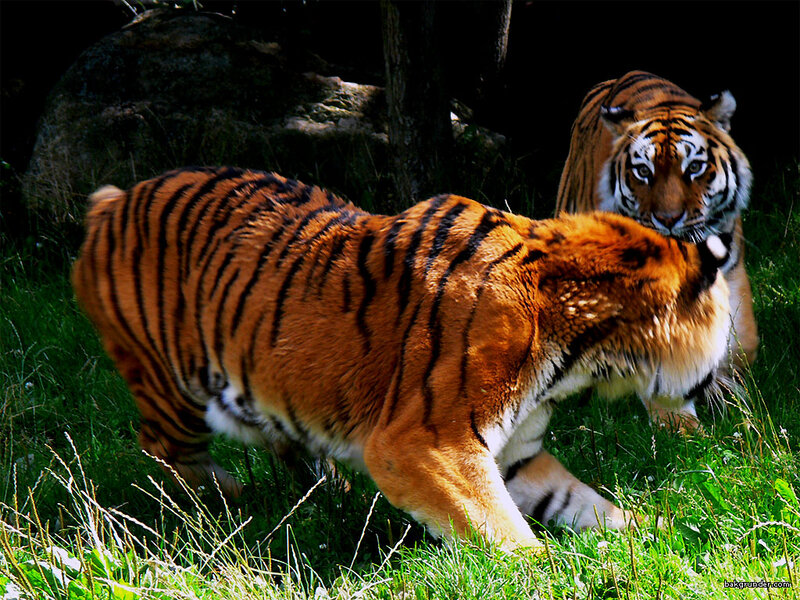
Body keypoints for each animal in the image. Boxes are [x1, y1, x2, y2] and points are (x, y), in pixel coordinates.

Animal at [72, 166, 732, 552]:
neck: (584, 352)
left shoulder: (516, 453)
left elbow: (586, 503)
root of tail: (112, 199)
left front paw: (663, 535)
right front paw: (545, 573)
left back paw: (327, 493)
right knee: (166, 452)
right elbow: (499, 527)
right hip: (172, 387)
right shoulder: (424, 443)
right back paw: (225, 505)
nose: (723, 381)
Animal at [556, 70, 756, 431]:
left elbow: (736, 343)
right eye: (643, 172)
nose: (668, 218)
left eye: (694, 167)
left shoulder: (731, 272)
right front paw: (681, 427)